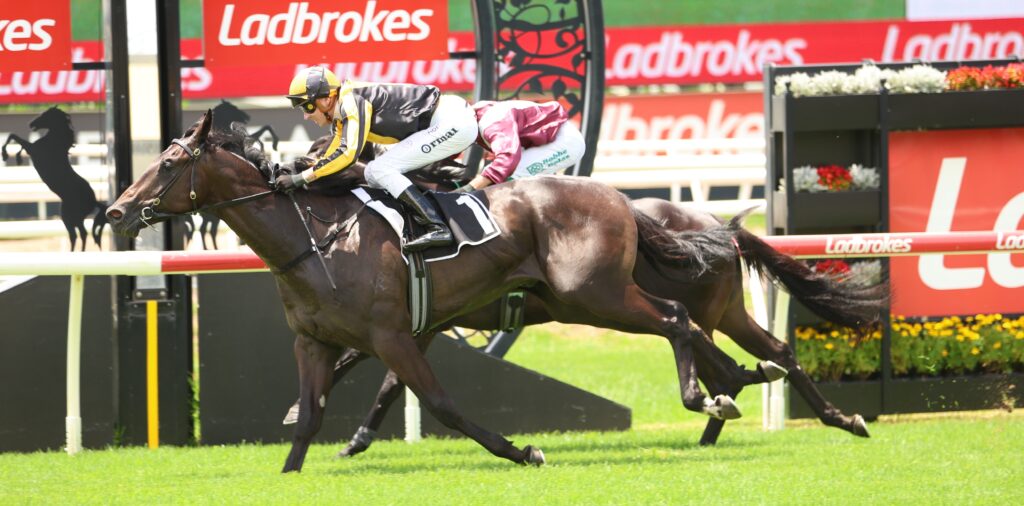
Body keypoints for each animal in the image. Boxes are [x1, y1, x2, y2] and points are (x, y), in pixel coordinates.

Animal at [2, 107, 108, 250]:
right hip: (73, 217)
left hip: (70, 216)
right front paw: (17, 158)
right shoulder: (32, 148)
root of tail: (94, 201)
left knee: (77, 234)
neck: (55, 141)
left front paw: (5, 155)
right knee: (80, 233)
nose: (30, 123)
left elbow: (14, 136)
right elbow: (18, 141)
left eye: (46, 115)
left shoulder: (33, 149)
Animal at [106, 110, 764, 472]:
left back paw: (713, 396)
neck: (317, 239)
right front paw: (296, 464)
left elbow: (442, 404)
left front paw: (523, 452)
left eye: (170, 164)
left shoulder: (394, 334)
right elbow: (311, 416)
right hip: (587, 297)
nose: (117, 210)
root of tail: (619, 198)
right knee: (690, 325)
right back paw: (733, 384)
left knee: (677, 318)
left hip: (593, 295)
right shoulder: (314, 341)